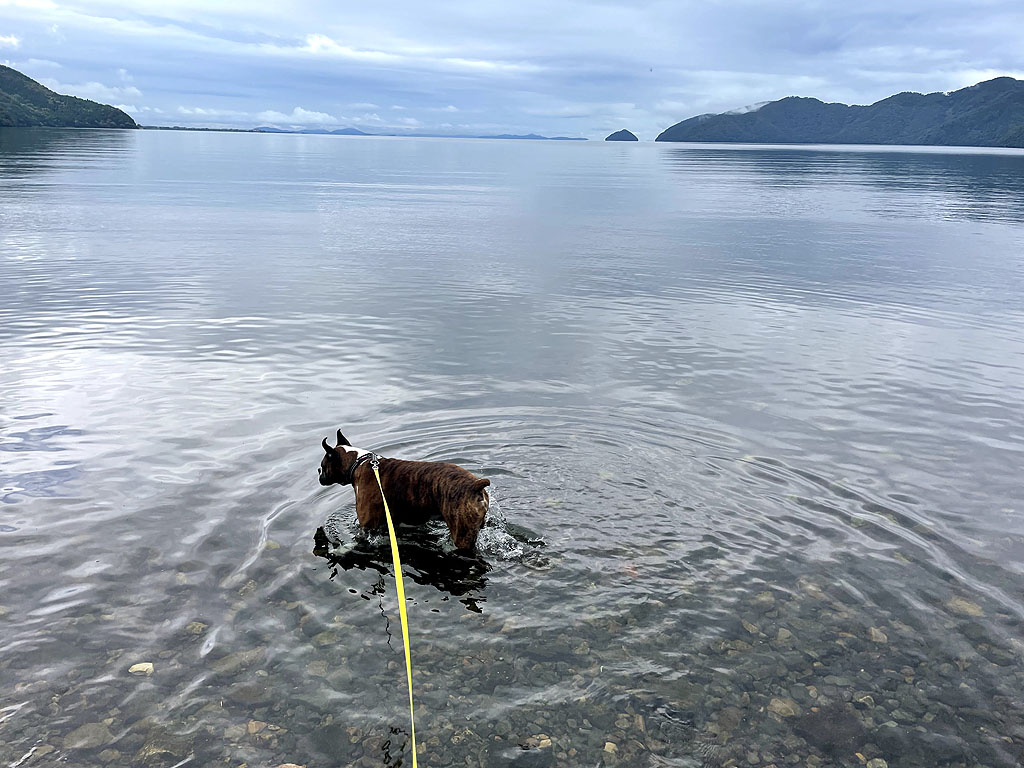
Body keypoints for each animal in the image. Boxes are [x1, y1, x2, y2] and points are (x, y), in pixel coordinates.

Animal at [319, 430, 491, 548]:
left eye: (322, 465)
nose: (318, 471)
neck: (359, 462)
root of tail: (474, 485)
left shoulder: (367, 526)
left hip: (462, 535)